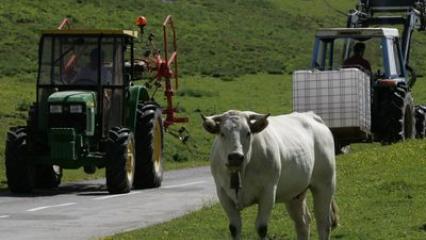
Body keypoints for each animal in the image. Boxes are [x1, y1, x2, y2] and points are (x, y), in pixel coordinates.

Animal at [201, 110, 338, 240]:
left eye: (248, 133)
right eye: (222, 133)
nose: (235, 157)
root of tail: (311, 115)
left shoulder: (268, 192)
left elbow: (261, 228)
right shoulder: (222, 193)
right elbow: (234, 228)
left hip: (325, 184)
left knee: (323, 223)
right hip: (294, 194)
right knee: (302, 222)